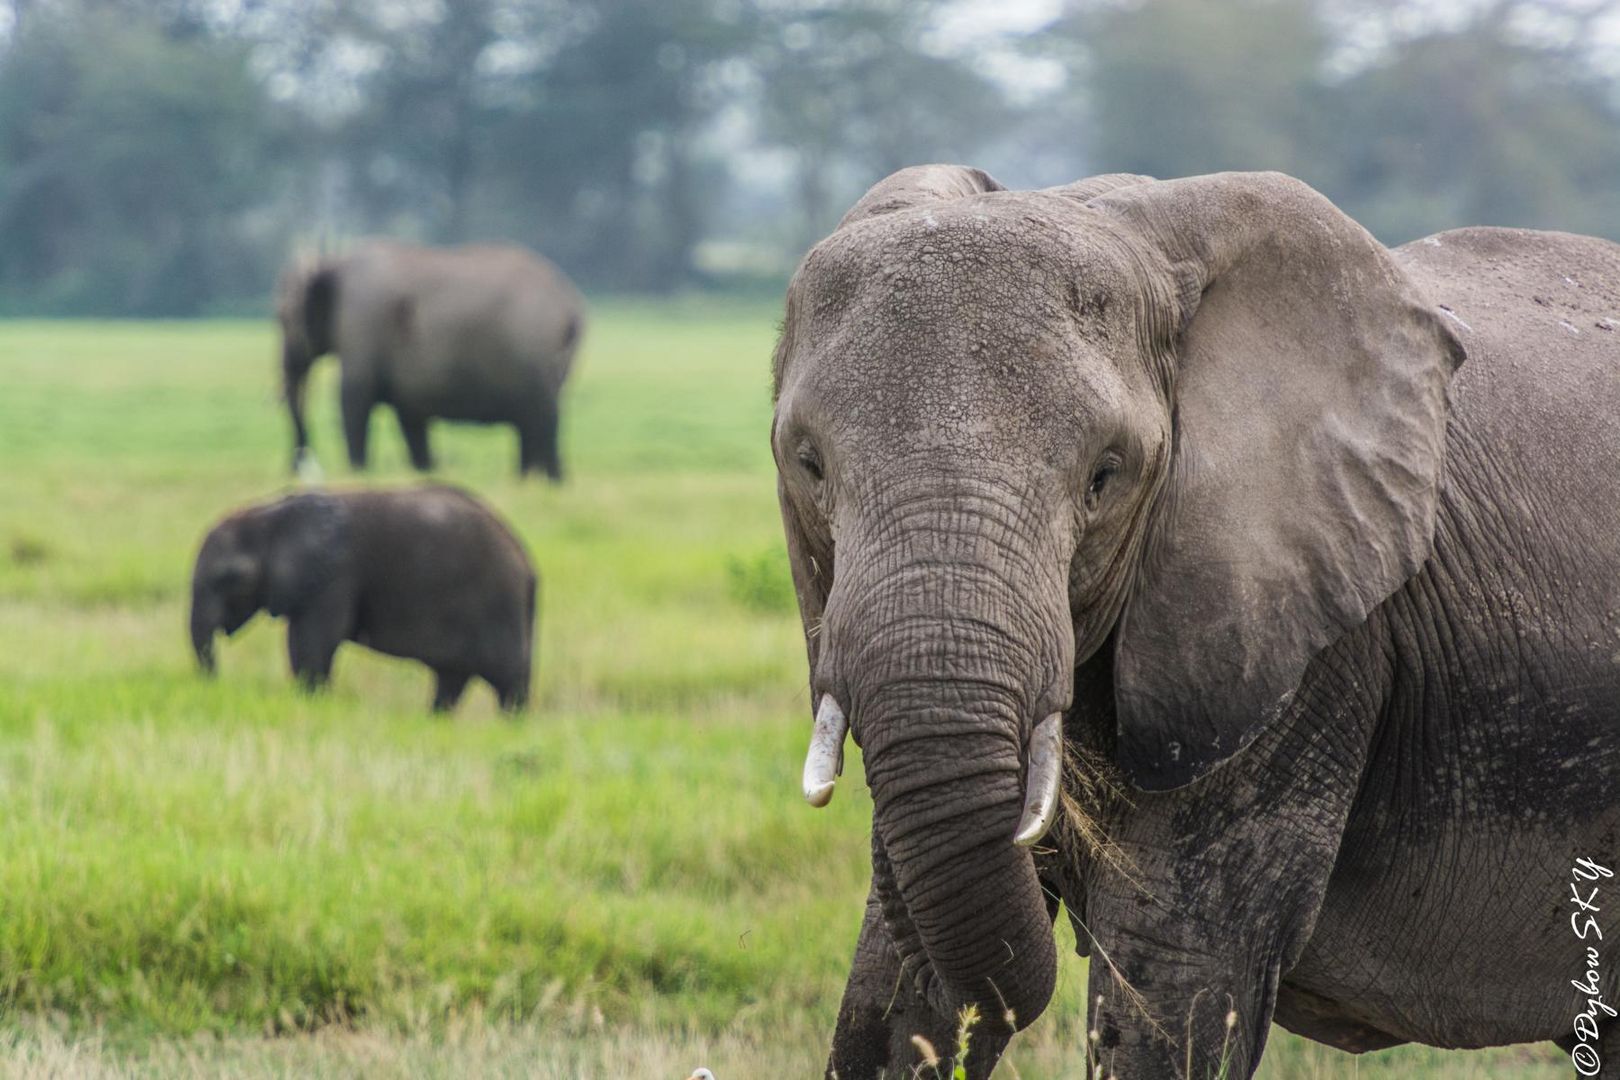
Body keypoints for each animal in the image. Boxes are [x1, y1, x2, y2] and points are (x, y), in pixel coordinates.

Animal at [188, 485, 531, 712]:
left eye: (229, 578)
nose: (215, 685)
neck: (273, 512)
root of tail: (525, 560)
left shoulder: (335, 577)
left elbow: (311, 642)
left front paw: (313, 702)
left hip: (498, 606)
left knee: (508, 682)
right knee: (451, 678)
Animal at [275, 244, 586, 485]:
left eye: (282, 317)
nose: (297, 468)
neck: (334, 264)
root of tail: (571, 307)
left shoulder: (359, 326)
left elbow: (352, 399)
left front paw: (358, 474)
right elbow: (410, 417)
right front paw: (426, 473)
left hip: (534, 356)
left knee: (544, 419)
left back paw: (551, 483)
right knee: (532, 424)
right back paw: (528, 483)